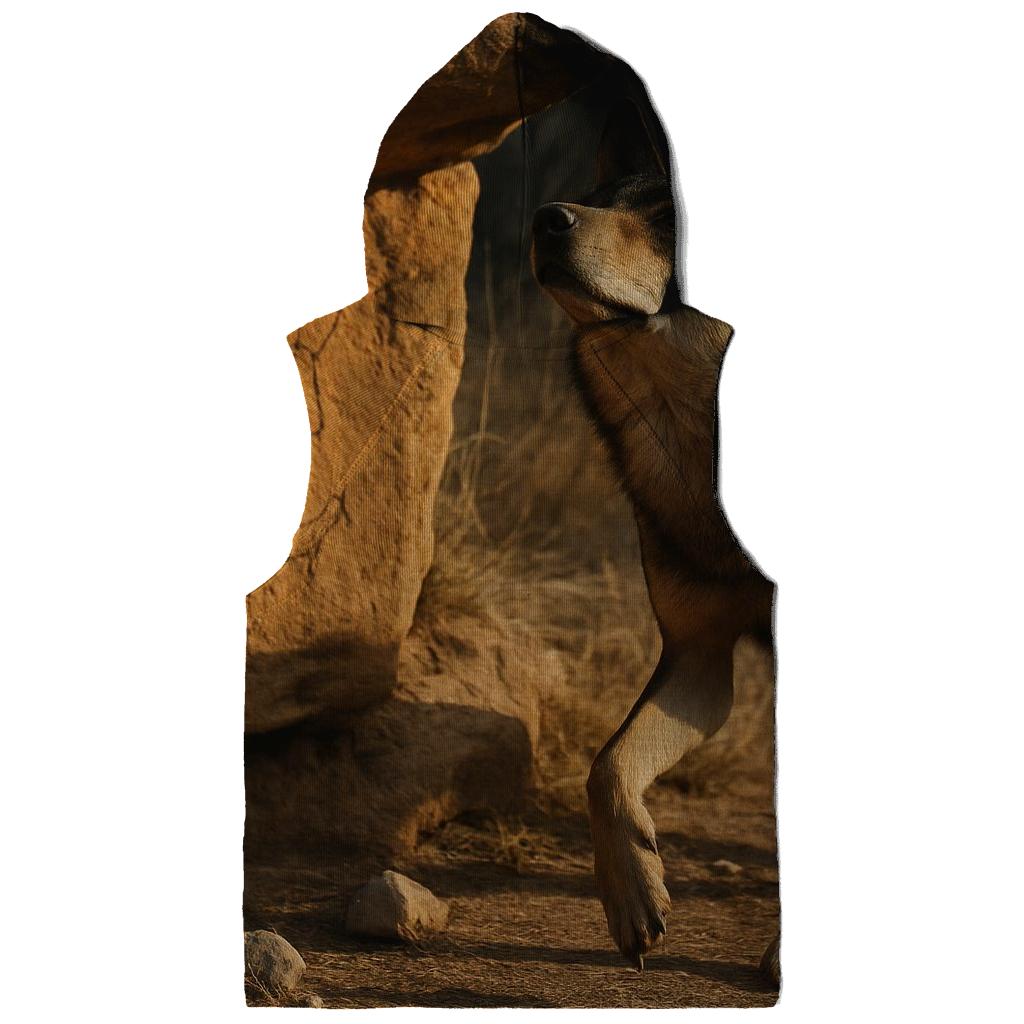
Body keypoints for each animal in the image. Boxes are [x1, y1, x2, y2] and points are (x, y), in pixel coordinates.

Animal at [531, 101, 776, 970]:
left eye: (669, 216)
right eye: (601, 196)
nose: (544, 216)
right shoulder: (698, 656)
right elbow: (606, 766)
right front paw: (633, 896)